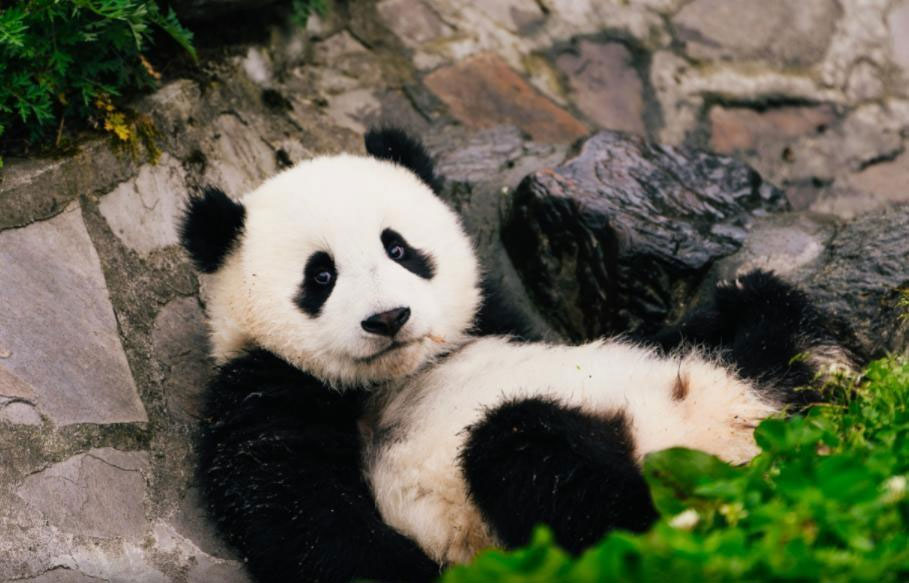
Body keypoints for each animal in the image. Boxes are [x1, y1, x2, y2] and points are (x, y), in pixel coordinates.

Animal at [180, 128, 855, 583]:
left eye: (398, 248)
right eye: (320, 275)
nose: (389, 318)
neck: (404, 373)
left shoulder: (497, 319)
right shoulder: (264, 390)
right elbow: (304, 518)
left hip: (747, 386)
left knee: (764, 330)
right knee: (527, 452)